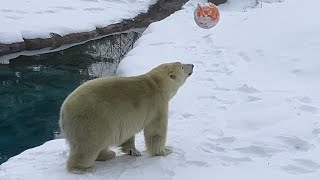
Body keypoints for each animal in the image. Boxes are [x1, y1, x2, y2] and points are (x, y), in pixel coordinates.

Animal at [59, 61, 194, 173]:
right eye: (182, 66)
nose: (192, 65)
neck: (157, 83)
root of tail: (63, 111)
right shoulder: (157, 105)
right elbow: (156, 131)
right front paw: (165, 150)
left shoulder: (128, 117)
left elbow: (128, 134)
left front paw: (133, 151)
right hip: (92, 120)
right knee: (88, 145)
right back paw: (83, 168)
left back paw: (108, 154)